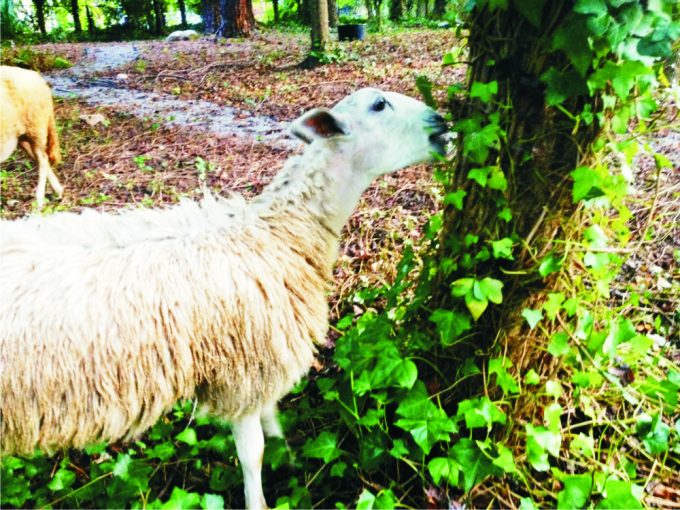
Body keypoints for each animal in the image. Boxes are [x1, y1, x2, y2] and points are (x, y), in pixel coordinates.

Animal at [0, 64, 63, 208]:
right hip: (23, 136)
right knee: (40, 159)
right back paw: (58, 191)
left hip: (37, 127)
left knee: (43, 160)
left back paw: (39, 200)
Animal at [0, 86, 448, 506]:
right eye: (379, 105)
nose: (442, 121)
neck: (276, 232)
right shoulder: (245, 369)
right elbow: (253, 453)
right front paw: (259, 499)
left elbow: (273, 424)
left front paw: (289, 456)